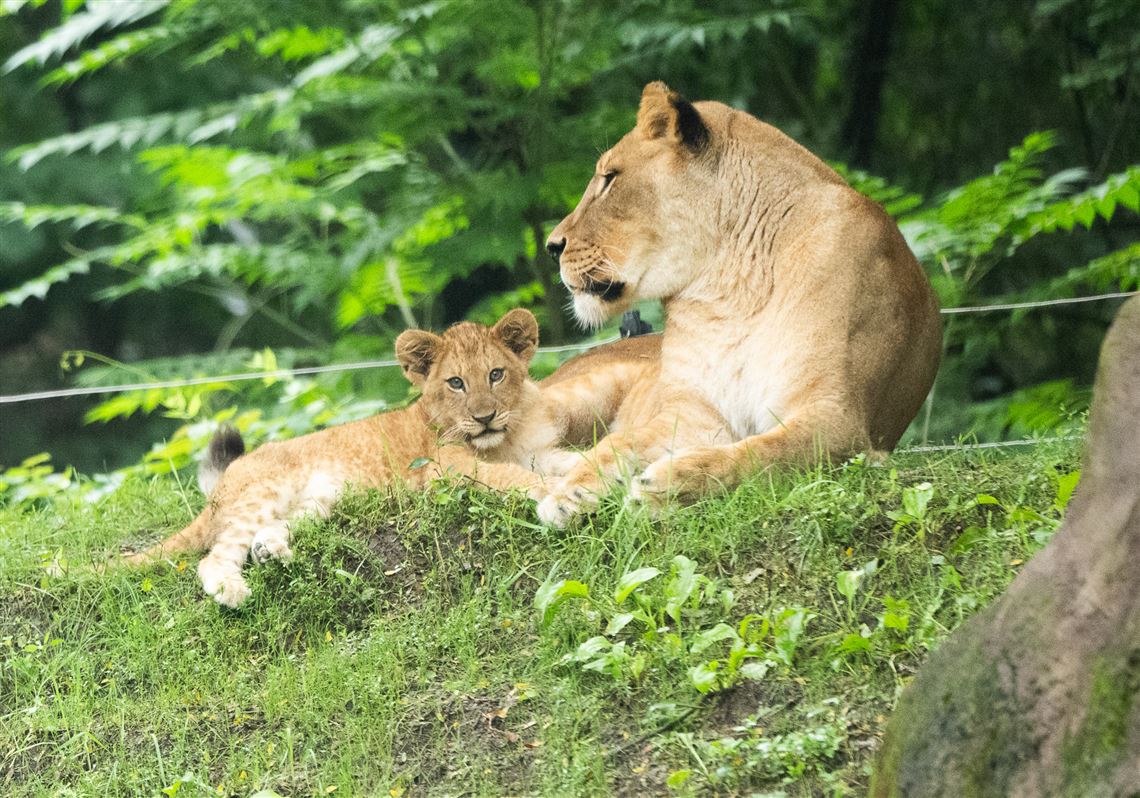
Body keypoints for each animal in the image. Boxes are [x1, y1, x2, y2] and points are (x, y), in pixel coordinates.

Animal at [536, 81, 942, 526]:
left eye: (610, 179)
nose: (552, 247)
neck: (728, 290)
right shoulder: (692, 414)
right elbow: (619, 444)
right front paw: (570, 492)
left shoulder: (839, 421)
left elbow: (760, 455)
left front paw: (668, 486)